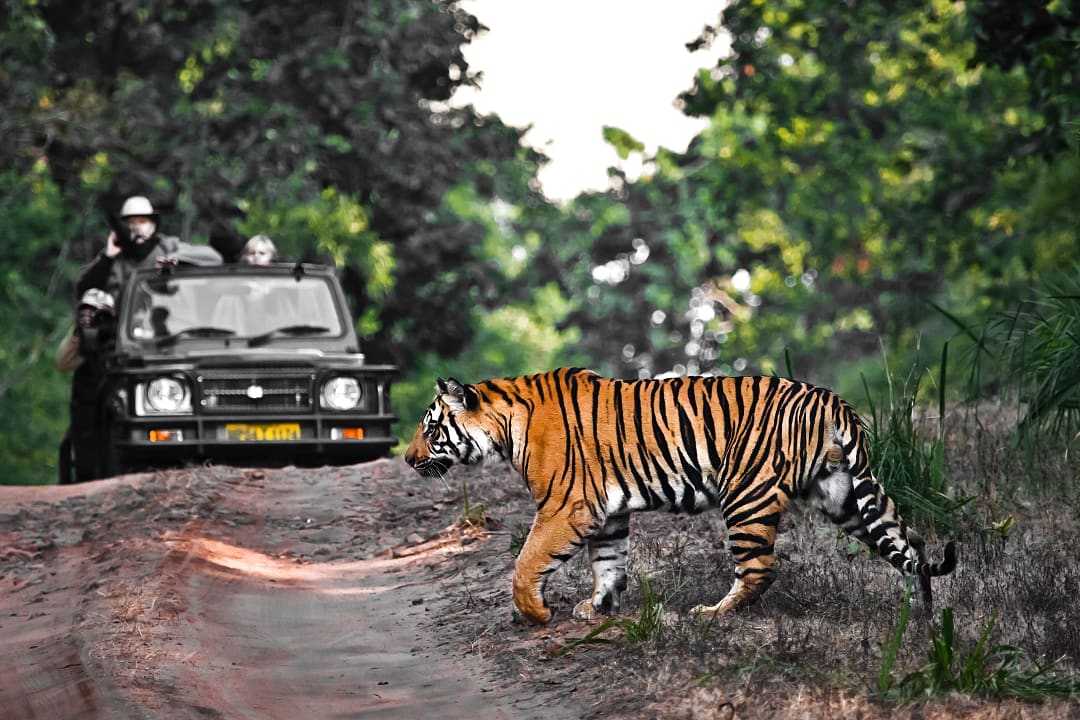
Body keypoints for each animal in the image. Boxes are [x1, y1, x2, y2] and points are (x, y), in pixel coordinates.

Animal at [403, 367, 954, 626]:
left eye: (431, 429)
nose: (407, 459)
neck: (506, 426)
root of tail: (831, 398)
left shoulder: (566, 507)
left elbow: (525, 563)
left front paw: (535, 614)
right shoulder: (605, 512)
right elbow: (609, 563)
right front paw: (598, 608)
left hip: (746, 495)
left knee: (760, 568)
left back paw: (713, 614)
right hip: (844, 494)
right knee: (910, 543)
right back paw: (923, 614)